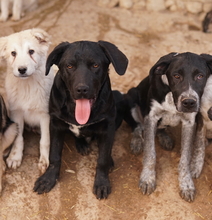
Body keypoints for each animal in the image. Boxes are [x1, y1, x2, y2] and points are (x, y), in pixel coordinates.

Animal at [0, 28, 54, 173]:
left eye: (31, 51)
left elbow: (44, 141)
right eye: (13, 53)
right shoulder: (16, 113)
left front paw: (44, 161)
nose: (22, 69)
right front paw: (15, 157)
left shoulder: (45, 115)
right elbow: (18, 139)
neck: (27, 86)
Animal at [33, 40, 127, 199]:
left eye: (95, 65)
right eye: (69, 66)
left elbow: (102, 158)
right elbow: (54, 155)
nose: (82, 89)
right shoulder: (56, 124)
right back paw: (81, 144)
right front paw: (48, 179)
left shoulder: (108, 126)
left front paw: (102, 183)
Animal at [118, 52, 212, 202]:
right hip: (130, 99)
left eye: (200, 76)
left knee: (160, 129)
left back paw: (164, 138)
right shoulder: (151, 117)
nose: (189, 102)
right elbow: (150, 153)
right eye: (176, 76)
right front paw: (147, 179)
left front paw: (186, 184)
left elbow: (185, 158)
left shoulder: (189, 122)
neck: (171, 96)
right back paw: (137, 142)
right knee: (137, 126)